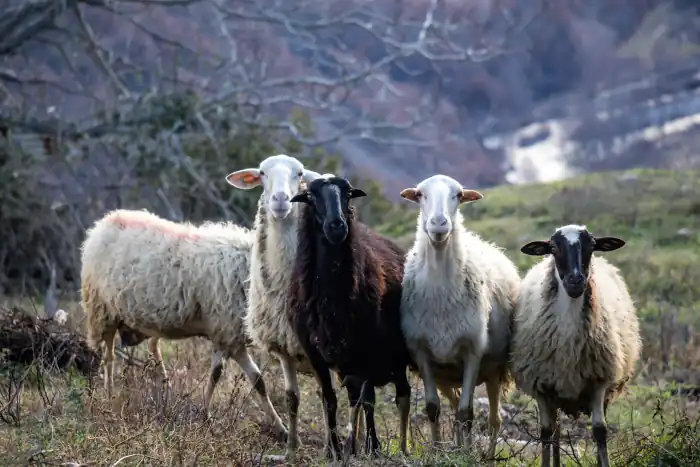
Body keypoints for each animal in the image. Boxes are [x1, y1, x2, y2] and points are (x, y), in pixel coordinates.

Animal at [80, 209, 291, 440]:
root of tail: (105, 222)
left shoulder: (229, 337)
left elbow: (256, 380)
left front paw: (282, 428)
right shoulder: (226, 332)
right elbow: (218, 375)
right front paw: (206, 418)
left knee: (146, 350)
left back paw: (164, 391)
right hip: (103, 310)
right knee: (108, 358)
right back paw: (110, 398)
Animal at [227, 159, 363, 459]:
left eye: (299, 174)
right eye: (262, 173)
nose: (280, 200)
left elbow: (328, 398)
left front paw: (331, 449)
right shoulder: (285, 348)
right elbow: (293, 399)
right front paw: (290, 450)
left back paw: (355, 442)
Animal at [287, 176, 412, 460]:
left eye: (348, 194)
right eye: (311, 196)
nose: (337, 226)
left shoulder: (367, 349)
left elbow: (368, 401)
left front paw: (373, 447)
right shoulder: (314, 352)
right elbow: (329, 399)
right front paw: (333, 449)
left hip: (393, 355)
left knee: (401, 396)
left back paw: (399, 448)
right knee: (356, 397)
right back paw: (352, 445)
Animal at [399, 174, 520, 463]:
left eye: (458, 195)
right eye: (420, 195)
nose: (439, 224)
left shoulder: (473, 352)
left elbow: (467, 412)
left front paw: (465, 455)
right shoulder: (421, 352)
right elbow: (433, 408)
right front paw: (435, 451)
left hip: (493, 369)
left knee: (493, 419)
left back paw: (485, 455)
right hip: (445, 373)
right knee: (453, 406)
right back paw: (454, 445)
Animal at [513, 224, 641, 467]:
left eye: (592, 246)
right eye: (553, 248)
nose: (576, 281)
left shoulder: (598, 381)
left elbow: (600, 431)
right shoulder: (542, 386)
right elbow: (545, 434)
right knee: (555, 432)